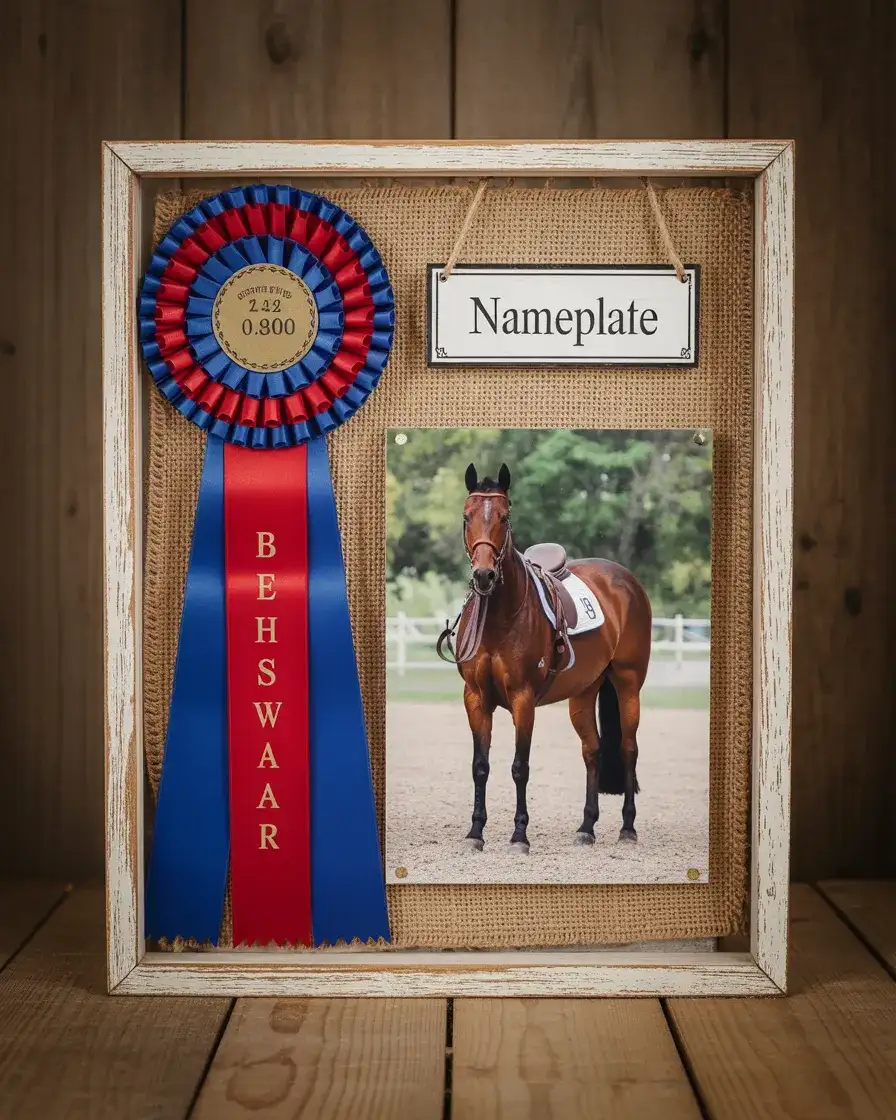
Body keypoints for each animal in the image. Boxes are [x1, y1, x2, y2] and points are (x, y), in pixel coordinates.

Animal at [439, 462, 653, 854]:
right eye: (466, 516)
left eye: (505, 517)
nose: (483, 575)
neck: (500, 617)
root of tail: (625, 579)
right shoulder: (475, 697)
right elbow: (480, 766)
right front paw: (475, 832)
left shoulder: (523, 699)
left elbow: (519, 767)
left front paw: (519, 836)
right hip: (583, 692)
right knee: (592, 751)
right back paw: (586, 827)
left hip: (628, 684)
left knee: (629, 749)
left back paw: (628, 828)